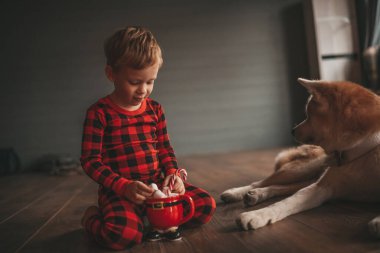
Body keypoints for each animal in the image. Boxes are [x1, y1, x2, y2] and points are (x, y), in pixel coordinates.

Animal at [221, 77, 380, 237]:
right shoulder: (321, 187)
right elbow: (287, 202)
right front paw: (257, 215)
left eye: (308, 115)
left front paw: (377, 221)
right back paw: (237, 193)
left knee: (287, 186)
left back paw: (257, 194)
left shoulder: (321, 186)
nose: (292, 131)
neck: (361, 150)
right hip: (302, 169)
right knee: (263, 182)